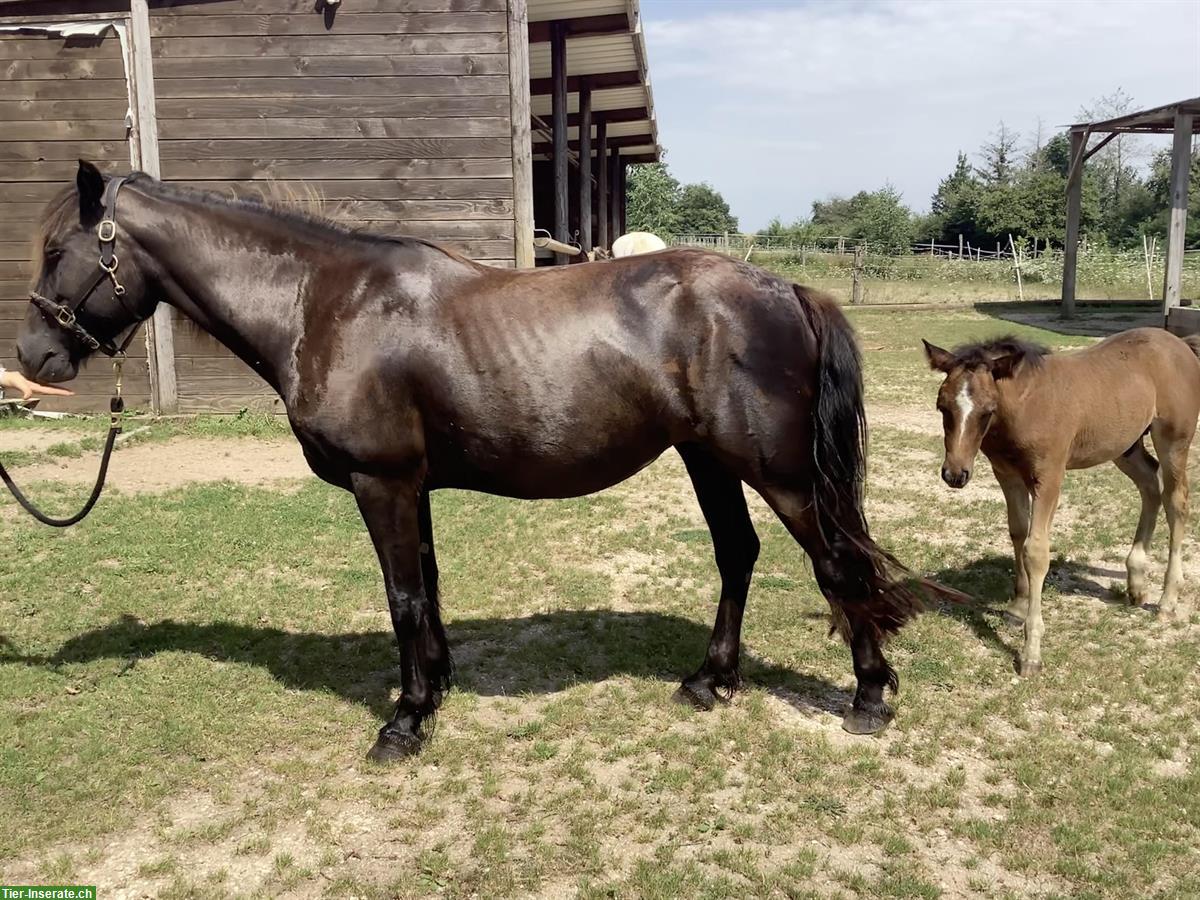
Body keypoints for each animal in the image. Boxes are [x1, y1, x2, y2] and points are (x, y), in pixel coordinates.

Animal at [11, 164, 945, 763]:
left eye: (59, 251)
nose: (32, 357)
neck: (325, 304)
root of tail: (787, 289)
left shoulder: (381, 481)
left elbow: (402, 596)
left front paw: (403, 723)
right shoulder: (409, 485)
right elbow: (425, 586)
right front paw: (434, 687)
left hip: (779, 473)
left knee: (837, 564)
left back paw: (868, 697)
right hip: (707, 459)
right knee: (738, 555)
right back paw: (711, 682)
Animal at [926, 331, 1200, 676]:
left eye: (987, 410)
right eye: (942, 407)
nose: (955, 474)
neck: (1026, 406)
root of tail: (1180, 343)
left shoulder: (1050, 477)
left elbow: (1036, 550)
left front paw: (1031, 652)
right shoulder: (1007, 474)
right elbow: (1018, 532)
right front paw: (1018, 605)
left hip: (1174, 440)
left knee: (1176, 501)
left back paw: (1167, 601)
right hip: (1125, 444)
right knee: (1150, 483)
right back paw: (1136, 581)